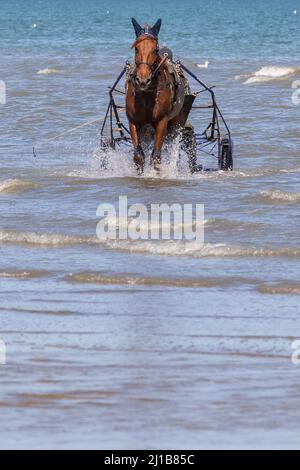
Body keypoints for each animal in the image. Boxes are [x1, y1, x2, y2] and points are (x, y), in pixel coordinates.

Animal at [125, 18, 182, 173]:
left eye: (155, 49)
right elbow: (138, 156)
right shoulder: (133, 121)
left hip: (175, 122)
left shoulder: (162, 121)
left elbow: (156, 156)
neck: (147, 94)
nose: (143, 80)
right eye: (136, 48)